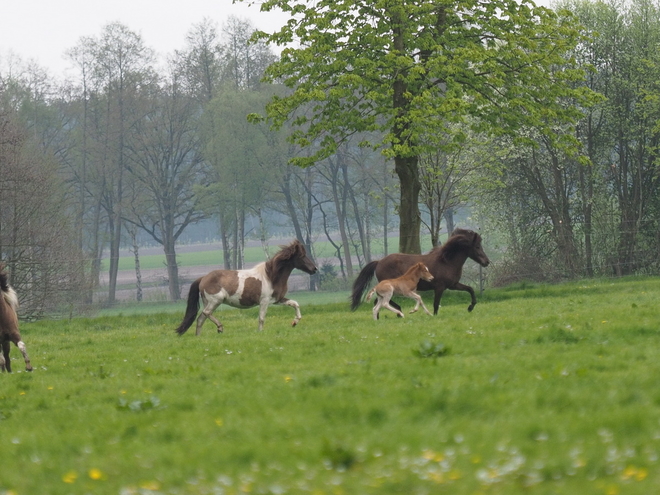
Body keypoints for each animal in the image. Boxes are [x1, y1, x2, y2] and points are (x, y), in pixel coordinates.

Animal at [175, 239, 320, 336]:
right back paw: (220, 327)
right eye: (302, 256)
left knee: (200, 318)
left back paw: (199, 336)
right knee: (206, 313)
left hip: (210, 302)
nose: (314, 269)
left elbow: (295, 304)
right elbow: (261, 318)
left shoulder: (278, 299)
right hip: (215, 300)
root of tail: (203, 278)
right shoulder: (264, 301)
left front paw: (294, 322)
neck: (271, 276)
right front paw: (260, 333)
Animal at [350, 229, 490, 314]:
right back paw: (398, 311)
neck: (446, 261)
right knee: (382, 302)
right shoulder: (439, 287)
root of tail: (379, 262)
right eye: (477, 246)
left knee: (378, 302)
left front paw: (471, 307)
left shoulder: (453, 285)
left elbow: (470, 289)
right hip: (390, 288)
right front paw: (434, 316)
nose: (487, 262)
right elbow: (436, 304)